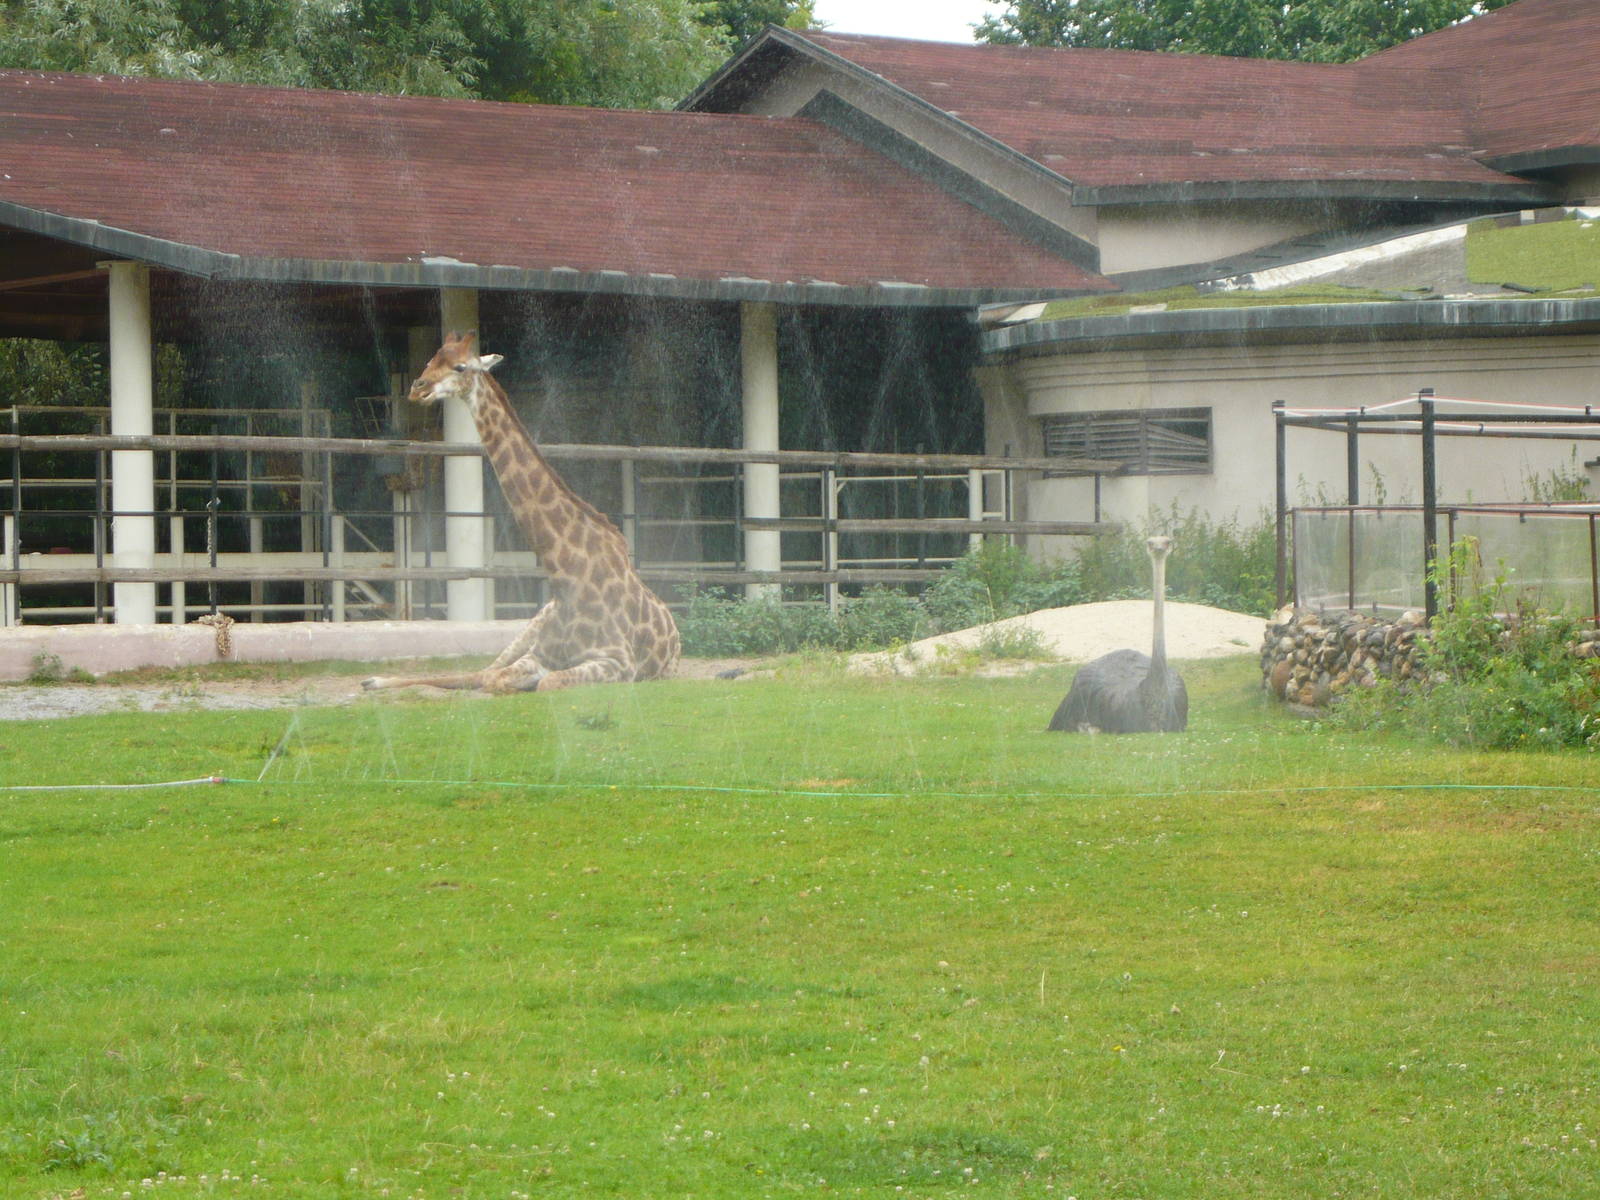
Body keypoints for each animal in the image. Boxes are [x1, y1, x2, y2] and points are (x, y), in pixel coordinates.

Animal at [362, 331, 680, 694]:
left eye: (459, 366)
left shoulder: (617, 663)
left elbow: (543, 684)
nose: (418, 387)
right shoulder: (539, 654)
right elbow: (495, 679)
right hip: (528, 629)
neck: (566, 576)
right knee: (481, 671)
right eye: (431, 360)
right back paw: (374, 680)